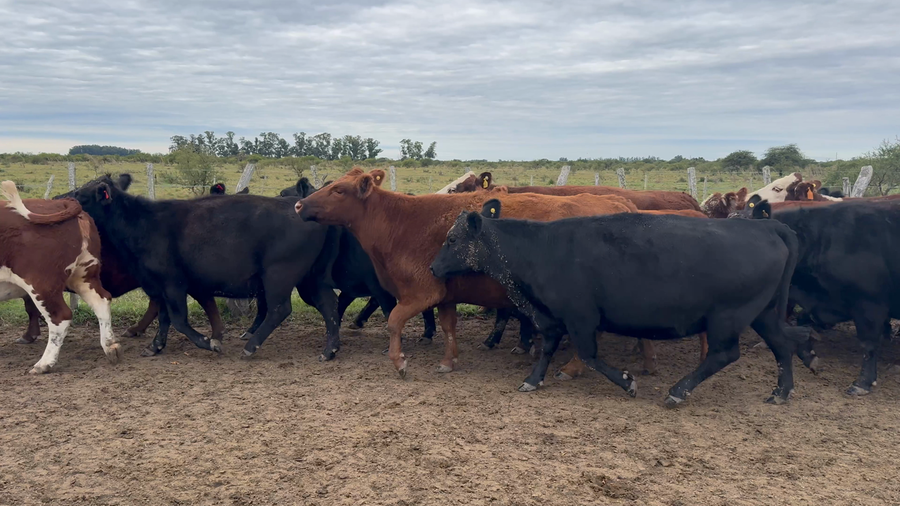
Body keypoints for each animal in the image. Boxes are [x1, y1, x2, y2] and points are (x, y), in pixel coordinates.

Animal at [1, 181, 121, 373]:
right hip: (85, 275)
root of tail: (62, 203)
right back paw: (110, 346)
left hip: (41, 284)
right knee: (102, 300)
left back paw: (44, 364)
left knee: (61, 317)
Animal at [65, 174, 340, 359]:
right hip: (310, 278)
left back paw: (250, 347)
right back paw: (330, 349)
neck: (143, 224)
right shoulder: (159, 285)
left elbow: (178, 319)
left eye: (81, 196)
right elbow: (164, 317)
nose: (63, 200)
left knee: (279, 309)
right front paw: (155, 346)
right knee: (328, 305)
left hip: (279, 275)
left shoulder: (173, 283)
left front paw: (210, 343)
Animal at [296, 167, 651, 377]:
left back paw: (574, 366)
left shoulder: (421, 292)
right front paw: (447, 361)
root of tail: (619, 204)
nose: (299, 205)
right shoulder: (445, 294)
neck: (402, 222)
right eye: (329, 185)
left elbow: (394, 321)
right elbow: (449, 327)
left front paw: (399, 361)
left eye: (339, 191)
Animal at [430, 201, 812, 405]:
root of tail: (768, 227)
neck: (541, 249)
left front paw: (627, 382)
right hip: (762, 313)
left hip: (728, 317)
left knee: (725, 354)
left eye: (452, 239)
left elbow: (589, 355)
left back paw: (678, 391)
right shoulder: (552, 316)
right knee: (782, 344)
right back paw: (781, 392)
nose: (433, 267)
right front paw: (533, 379)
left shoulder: (581, 316)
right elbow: (549, 347)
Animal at [745, 198, 900, 395]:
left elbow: (868, 344)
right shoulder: (828, 303)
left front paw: (862, 383)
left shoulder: (870, 304)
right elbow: (803, 323)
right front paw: (810, 356)